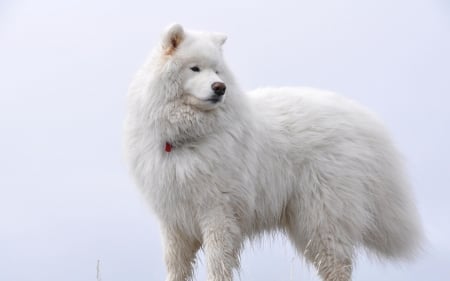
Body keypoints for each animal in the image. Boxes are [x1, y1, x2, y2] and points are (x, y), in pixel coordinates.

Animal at [123, 24, 422, 280]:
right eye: (194, 69)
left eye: (217, 71)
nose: (220, 88)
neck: (187, 137)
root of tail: (362, 119)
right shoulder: (174, 220)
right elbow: (176, 267)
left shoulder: (218, 212)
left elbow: (217, 263)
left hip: (321, 220)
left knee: (338, 267)